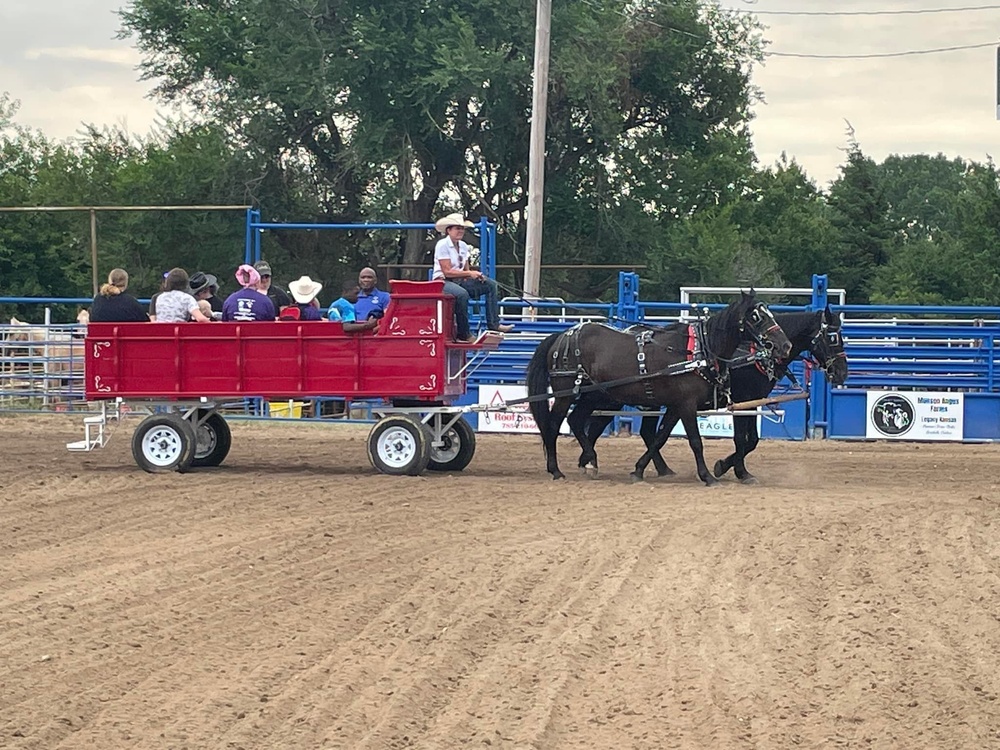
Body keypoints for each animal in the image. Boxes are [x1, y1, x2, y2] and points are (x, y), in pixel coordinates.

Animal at [528, 290, 792, 484]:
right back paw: (556, 470)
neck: (698, 352)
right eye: (756, 316)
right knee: (553, 425)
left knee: (576, 421)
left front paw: (638, 470)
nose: (785, 345)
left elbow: (659, 437)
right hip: (566, 395)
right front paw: (707, 476)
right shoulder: (686, 405)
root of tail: (563, 336)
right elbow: (695, 441)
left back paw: (590, 461)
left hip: (593, 396)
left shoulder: (676, 406)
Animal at [584, 308, 848, 484]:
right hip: (616, 397)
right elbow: (743, 440)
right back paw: (590, 461)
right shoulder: (742, 401)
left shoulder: (750, 402)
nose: (842, 372)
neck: (754, 356)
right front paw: (732, 469)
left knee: (642, 432)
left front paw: (730, 467)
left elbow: (751, 440)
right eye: (832, 337)